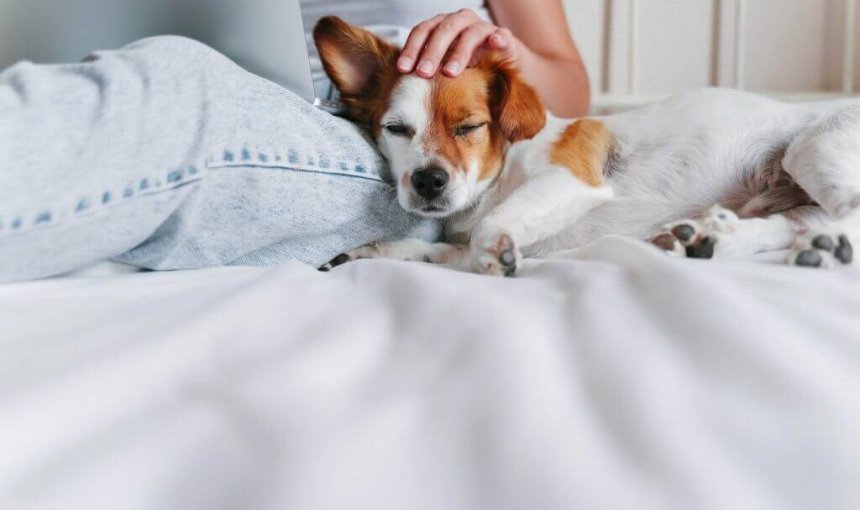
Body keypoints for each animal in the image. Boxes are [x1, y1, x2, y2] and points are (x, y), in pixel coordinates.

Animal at [314, 16, 852, 274]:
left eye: (469, 127)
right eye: (395, 128)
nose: (428, 181)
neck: (498, 178)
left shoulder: (571, 179)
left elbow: (493, 227)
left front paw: (498, 250)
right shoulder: (459, 249)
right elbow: (424, 250)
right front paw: (367, 252)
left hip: (812, 149)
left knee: (851, 217)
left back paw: (826, 250)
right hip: (794, 197)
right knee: (797, 223)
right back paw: (714, 240)